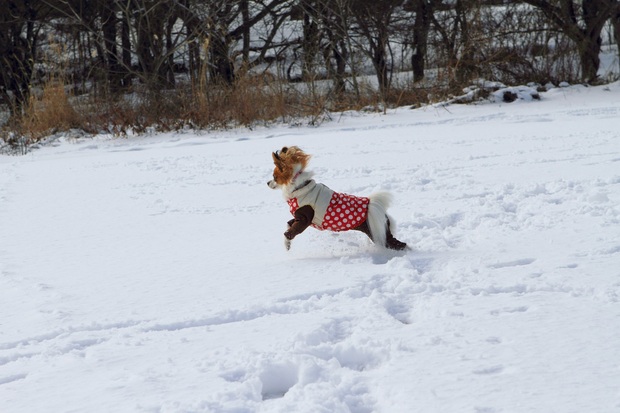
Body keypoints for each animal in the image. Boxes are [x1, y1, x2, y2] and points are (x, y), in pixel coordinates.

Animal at [266, 146, 406, 253]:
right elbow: (288, 224)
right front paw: (288, 244)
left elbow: (290, 232)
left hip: (376, 232)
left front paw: (287, 243)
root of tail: (376, 209)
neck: (299, 187)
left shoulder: (304, 218)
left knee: (400, 244)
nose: (267, 183)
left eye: (274, 177)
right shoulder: (298, 217)